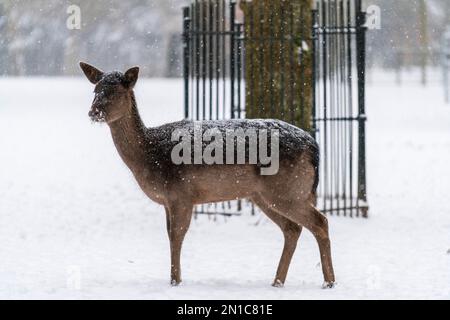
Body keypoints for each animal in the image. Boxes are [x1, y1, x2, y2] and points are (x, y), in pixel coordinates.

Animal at [79, 62, 336, 288]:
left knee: (320, 222)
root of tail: (314, 147)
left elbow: (177, 236)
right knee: (292, 229)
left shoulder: (181, 193)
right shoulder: (168, 201)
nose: (93, 112)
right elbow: (170, 235)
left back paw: (329, 282)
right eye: (95, 89)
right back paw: (277, 282)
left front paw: (175, 282)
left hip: (287, 190)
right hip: (264, 195)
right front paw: (174, 280)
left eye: (117, 90)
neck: (149, 156)